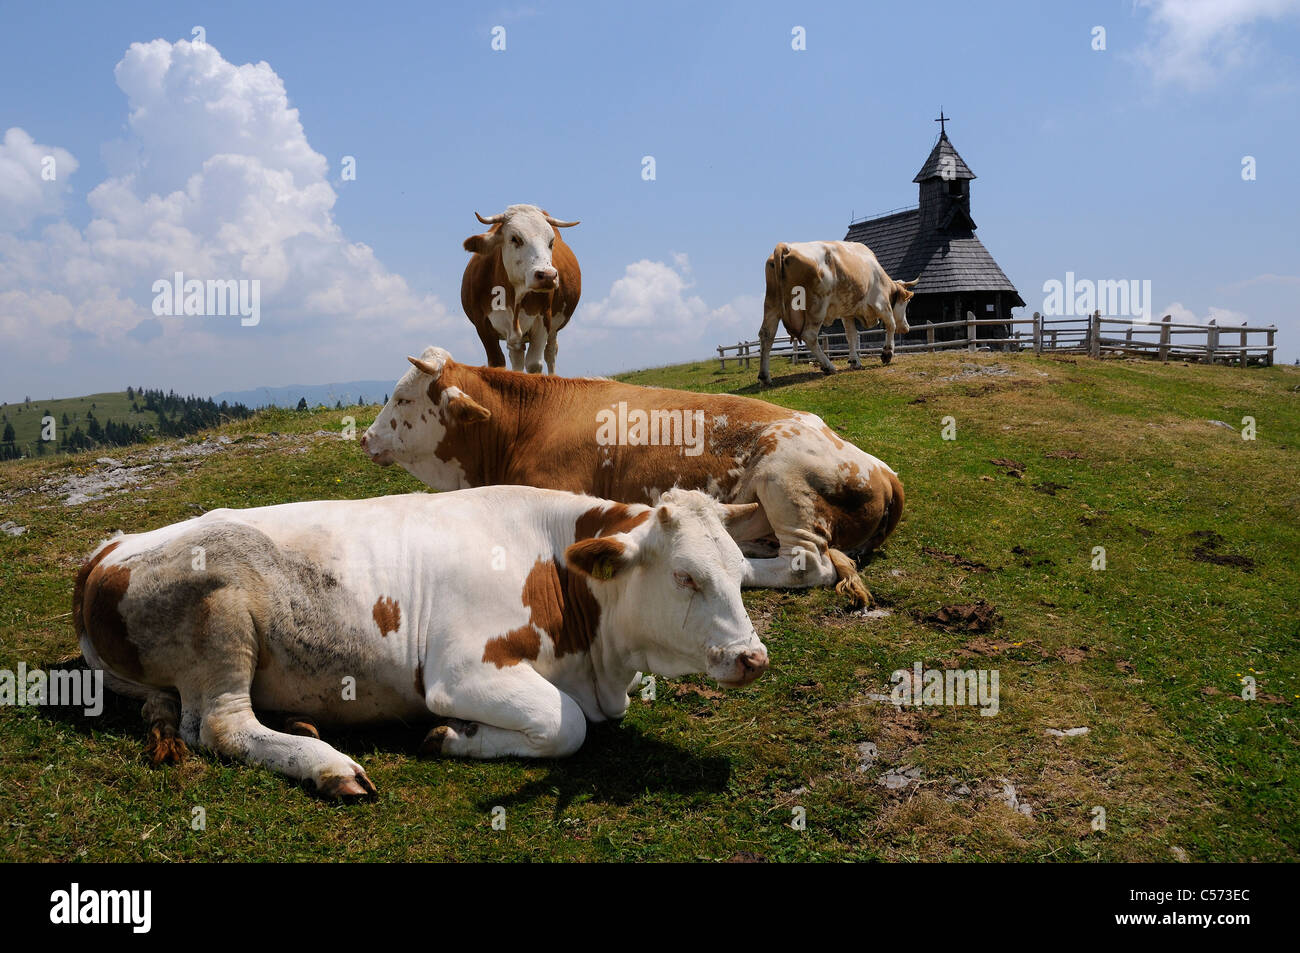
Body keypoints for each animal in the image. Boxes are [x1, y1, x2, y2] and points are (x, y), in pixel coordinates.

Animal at [76, 483, 764, 795]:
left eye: (741, 571)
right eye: (685, 576)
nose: (753, 657)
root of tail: (108, 550)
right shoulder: (461, 670)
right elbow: (564, 724)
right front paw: (454, 737)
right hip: (222, 612)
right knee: (221, 725)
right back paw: (328, 765)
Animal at [457, 202, 579, 374]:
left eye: (551, 242)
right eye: (515, 238)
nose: (547, 276)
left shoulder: (543, 319)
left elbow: (534, 364)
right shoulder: (482, 324)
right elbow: (497, 362)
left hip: (554, 327)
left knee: (550, 352)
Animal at [759, 241, 920, 382]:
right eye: (907, 303)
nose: (907, 328)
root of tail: (786, 246)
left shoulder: (847, 313)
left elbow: (851, 335)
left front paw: (855, 361)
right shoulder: (881, 304)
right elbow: (891, 325)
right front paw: (887, 353)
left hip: (771, 306)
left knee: (766, 335)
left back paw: (765, 376)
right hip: (817, 305)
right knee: (809, 335)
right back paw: (828, 366)